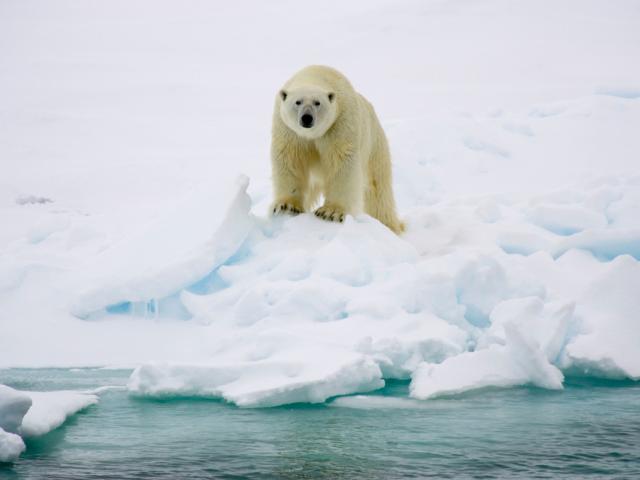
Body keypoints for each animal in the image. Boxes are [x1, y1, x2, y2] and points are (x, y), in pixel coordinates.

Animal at [270, 65, 404, 234]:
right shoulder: (288, 130)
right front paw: (287, 206)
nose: (307, 118)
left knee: (378, 190)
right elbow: (290, 160)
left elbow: (342, 162)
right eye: (297, 102)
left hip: (374, 145)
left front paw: (330, 212)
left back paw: (390, 225)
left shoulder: (340, 123)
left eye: (317, 103)